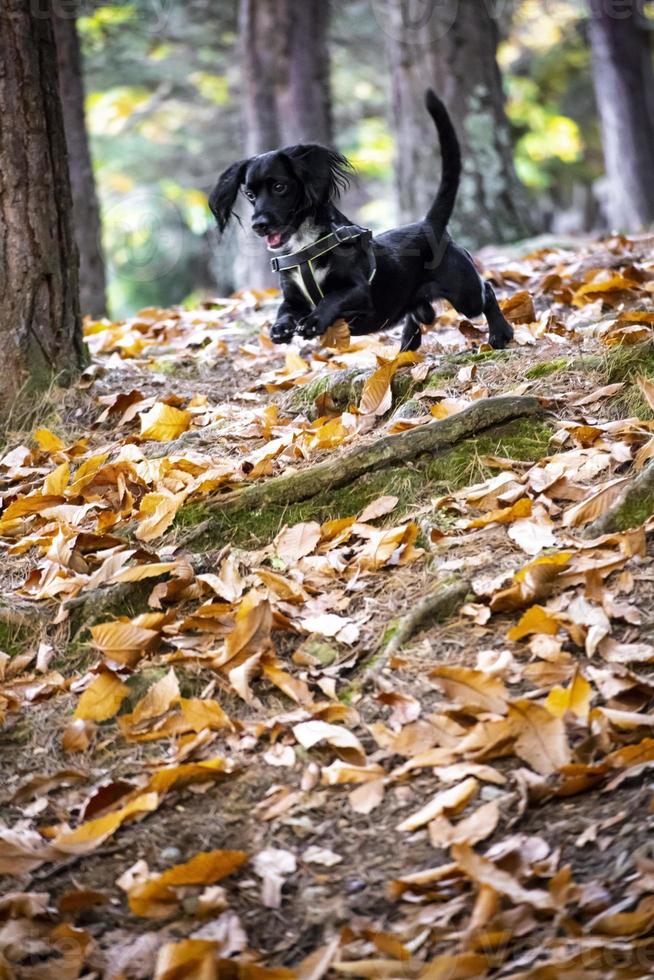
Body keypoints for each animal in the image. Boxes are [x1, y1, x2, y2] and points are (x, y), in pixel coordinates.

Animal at [210, 89, 512, 352]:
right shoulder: (292, 299)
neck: (304, 246)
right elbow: (284, 311)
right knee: (420, 315)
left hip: (465, 294)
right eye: (249, 194)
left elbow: (332, 298)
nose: (259, 225)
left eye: (279, 187)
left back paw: (500, 334)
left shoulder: (358, 291)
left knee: (486, 291)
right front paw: (280, 329)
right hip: (420, 302)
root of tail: (429, 224)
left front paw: (315, 321)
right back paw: (405, 348)